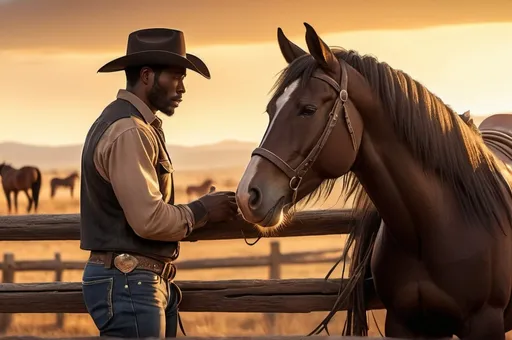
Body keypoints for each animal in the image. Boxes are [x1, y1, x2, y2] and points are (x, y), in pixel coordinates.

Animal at [237, 22, 512, 338]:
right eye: (271, 110)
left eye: (308, 109)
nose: (247, 195)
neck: (435, 227)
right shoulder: (404, 323)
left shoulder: (484, 323)